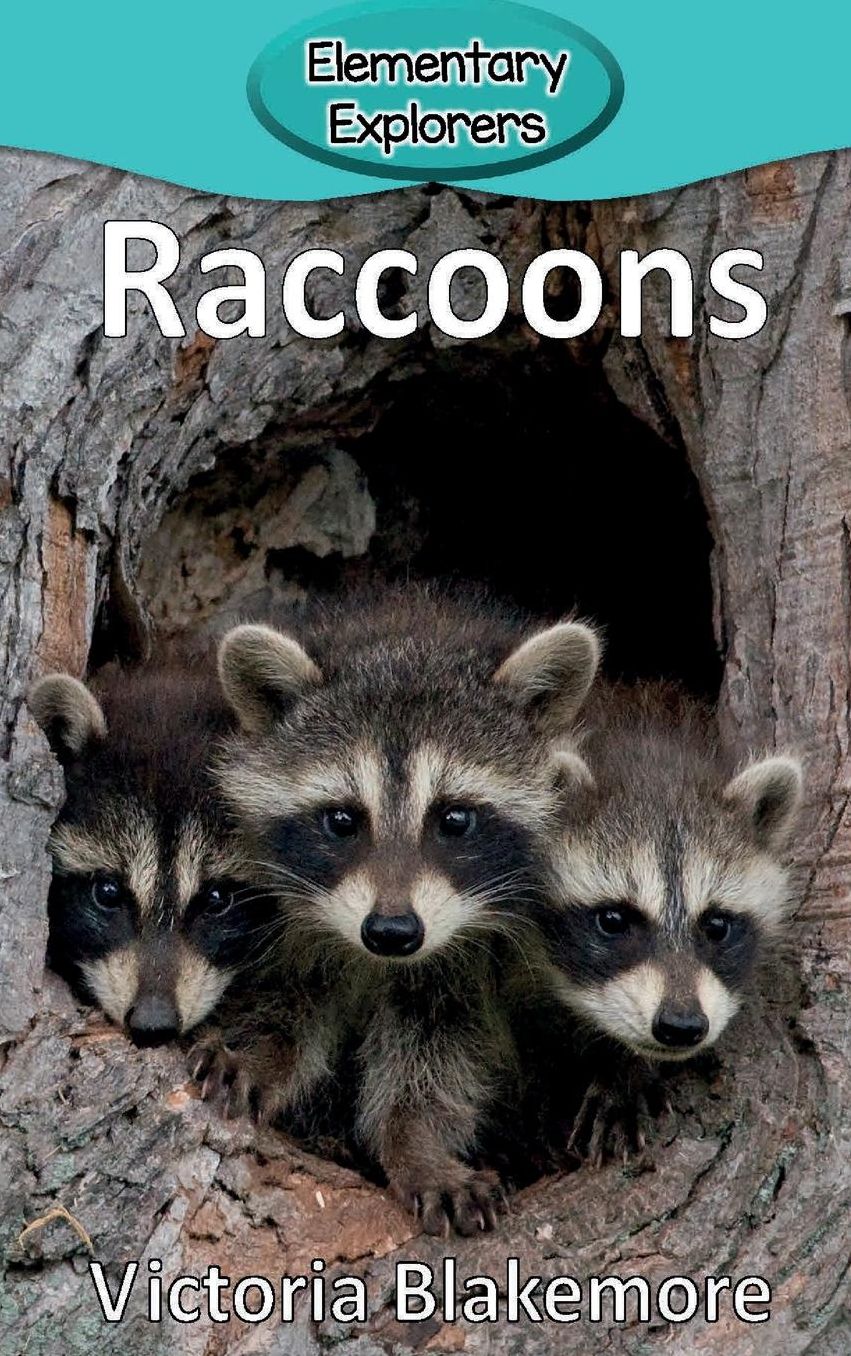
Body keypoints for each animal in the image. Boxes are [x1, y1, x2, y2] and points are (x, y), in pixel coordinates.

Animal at [204, 587, 600, 1234]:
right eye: (342, 820)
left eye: (455, 819)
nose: (391, 931)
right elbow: (289, 996)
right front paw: (261, 1051)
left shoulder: (464, 959)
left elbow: (437, 1053)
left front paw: (415, 1144)